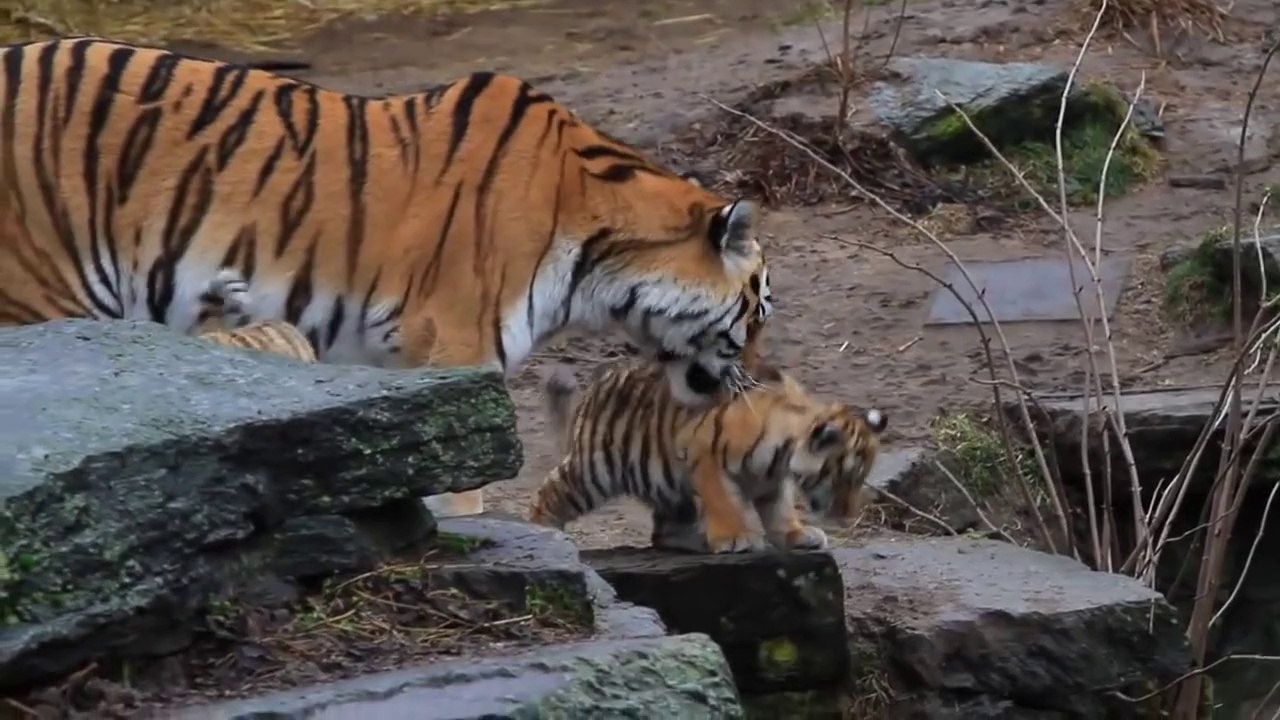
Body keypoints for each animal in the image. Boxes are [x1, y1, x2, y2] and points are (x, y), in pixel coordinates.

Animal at [526, 358, 888, 553]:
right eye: (845, 477)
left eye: (860, 479)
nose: (848, 514)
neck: (781, 457)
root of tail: (597, 385)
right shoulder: (706, 456)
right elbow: (723, 502)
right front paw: (735, 538)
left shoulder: (774, 482)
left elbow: (779, 511)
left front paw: (797, 536)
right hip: (596, 469)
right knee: (550, 492)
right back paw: (546, 537)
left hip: (667, 484)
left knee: (663, 532)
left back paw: (695, 540)